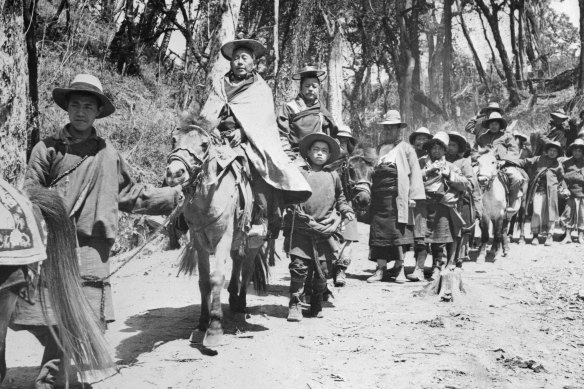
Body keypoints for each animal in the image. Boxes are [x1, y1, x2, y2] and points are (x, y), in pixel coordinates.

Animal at [165, 123, 268, 346]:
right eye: (173, 139)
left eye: (204, 144)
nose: (175, 173)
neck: (209, 198)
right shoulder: (199, 242)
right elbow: (204, 281)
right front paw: (202, 323)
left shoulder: (222, 239)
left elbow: (217, 277)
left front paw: (214, 328)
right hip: (237, 239)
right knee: (237, 261)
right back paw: (233, 299)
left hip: (254, 240)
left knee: (247, 269)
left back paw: (241, 306)